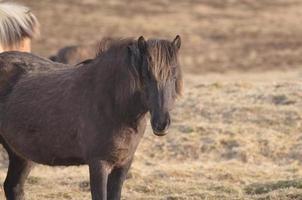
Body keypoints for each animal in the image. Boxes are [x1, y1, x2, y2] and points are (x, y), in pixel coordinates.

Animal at [0, 36, 182, 200]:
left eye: (173, 75)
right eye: (146, 75)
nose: (161, 123)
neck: (112, 103)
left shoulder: (123, 165)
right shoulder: (98, 164)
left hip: (21, 156)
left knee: (13, 187)